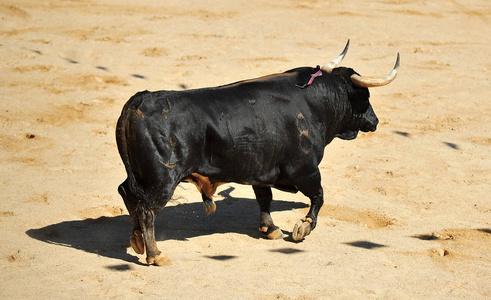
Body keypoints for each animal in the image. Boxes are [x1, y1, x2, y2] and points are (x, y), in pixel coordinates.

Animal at [115, 40, 400, 264]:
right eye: (365, 96)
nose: (375, 121)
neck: (316, 104)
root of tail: (139, 100)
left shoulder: (261, 169)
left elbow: (265, 198)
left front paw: (270, 229)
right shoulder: (306, 170)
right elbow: (318, 197)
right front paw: (302, 229)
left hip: (141, 177)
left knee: (128, 194)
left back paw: (137, 240)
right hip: (161, 181)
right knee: (147, 210)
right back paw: (155, 254)